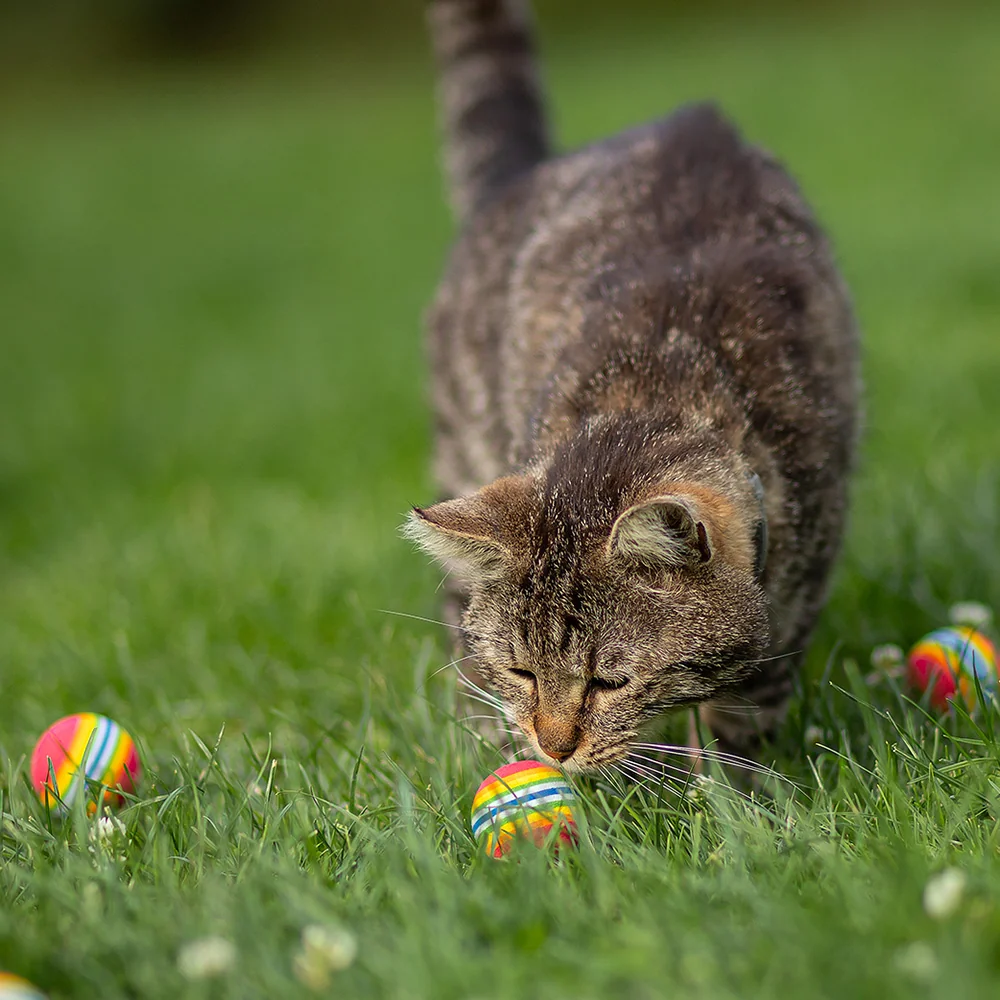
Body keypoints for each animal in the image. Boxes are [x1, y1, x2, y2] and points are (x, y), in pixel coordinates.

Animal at [406, 0, 860, 772]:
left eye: (609, 680)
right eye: (523, 670)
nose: (553, 749)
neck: (661, 378)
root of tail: (522, 177)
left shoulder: (802, 578)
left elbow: (748, 709)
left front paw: (732, 790)